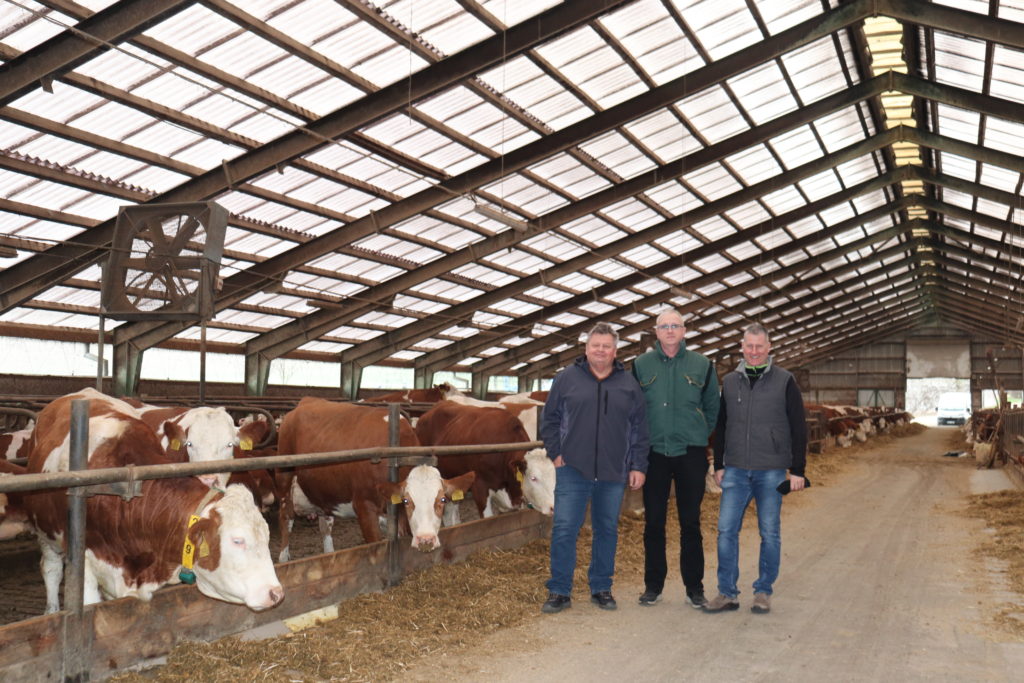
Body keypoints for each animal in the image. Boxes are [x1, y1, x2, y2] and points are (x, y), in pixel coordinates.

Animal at [20, 389, 284, 614]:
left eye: (230, 445)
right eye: (238, 540)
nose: (275, 593)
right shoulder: (83, 565)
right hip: (44, 528)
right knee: (51, 569)